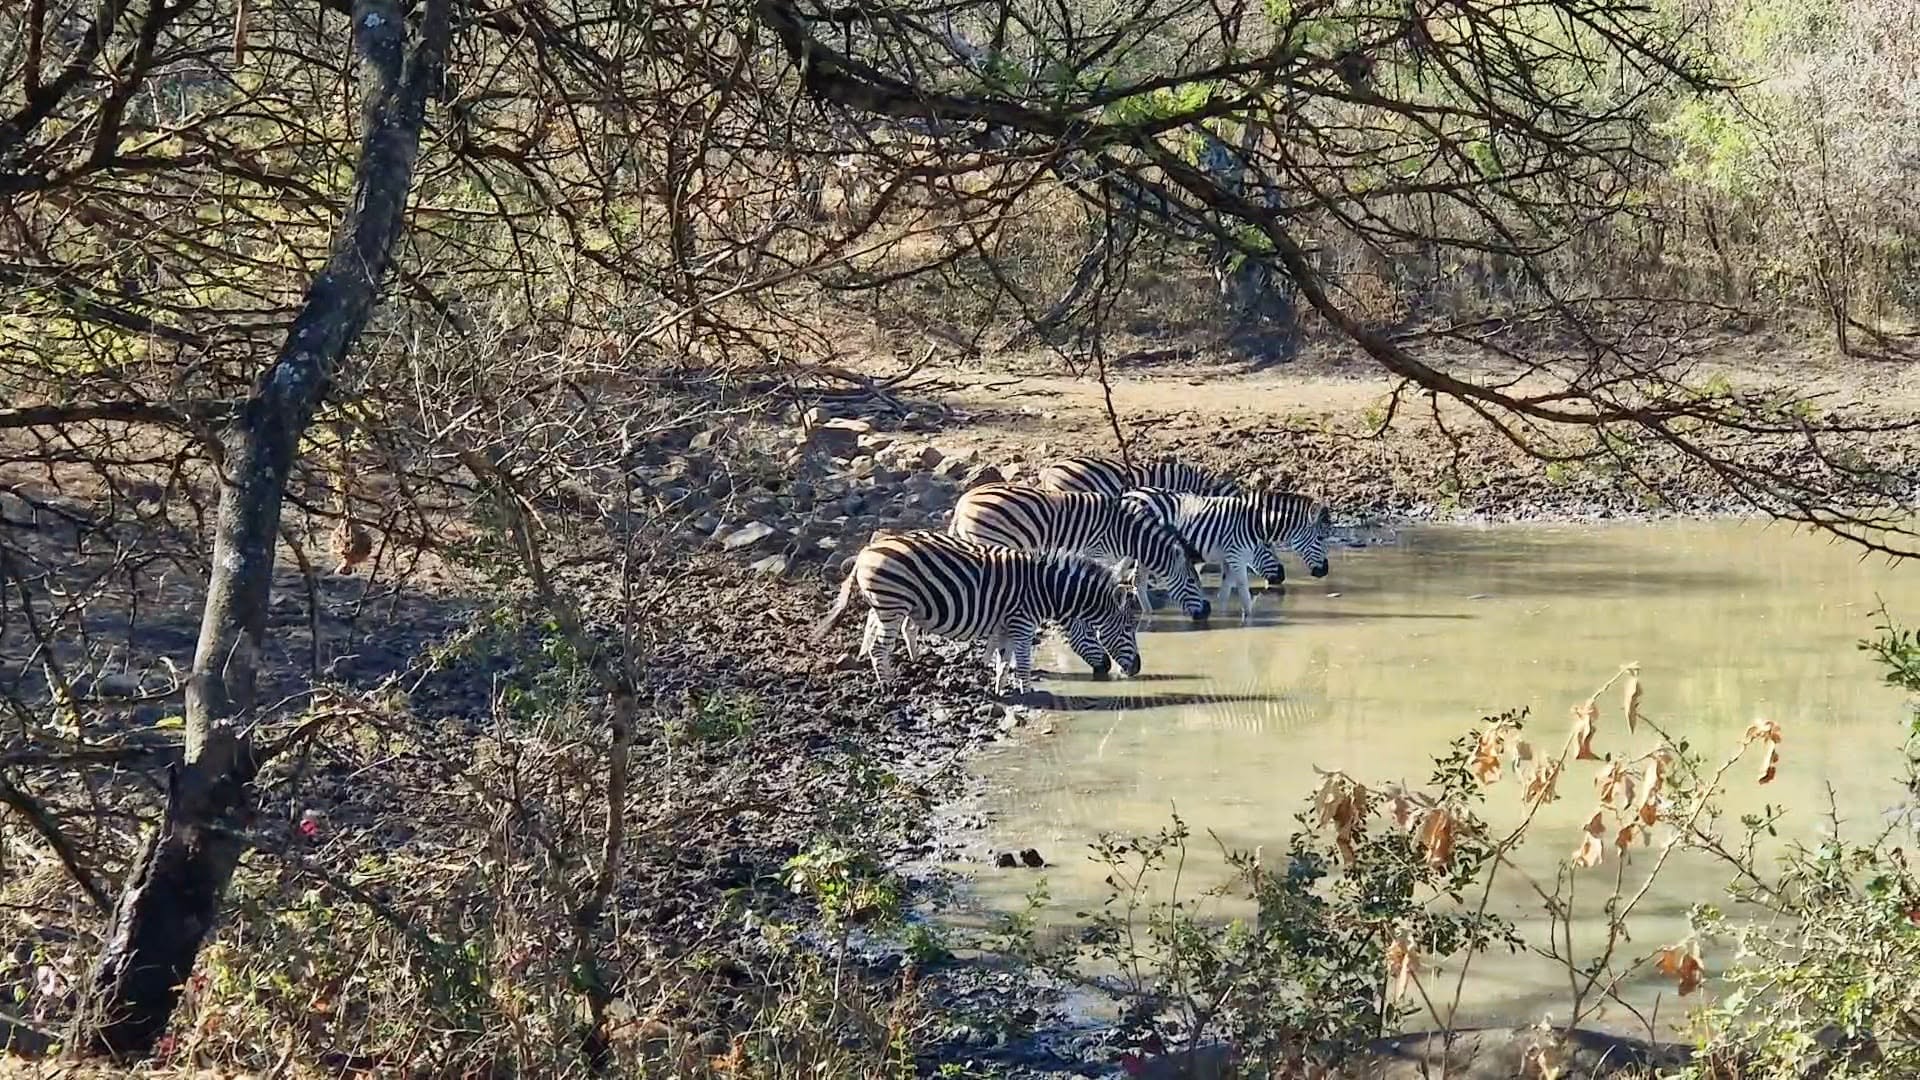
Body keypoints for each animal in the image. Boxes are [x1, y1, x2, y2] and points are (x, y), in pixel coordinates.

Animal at [816, 529, 1143, 694]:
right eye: (1128, 628)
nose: (1136, 669)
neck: (1045, 589)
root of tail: (866, 551)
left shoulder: (1008, 625)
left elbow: (1004, 659)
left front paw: (1001, 688)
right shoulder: (1022, 623)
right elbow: (1022, 661)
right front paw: (1027, 690)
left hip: (889, 605)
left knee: (880, 634)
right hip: (892, 605)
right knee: (880, 648)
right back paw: (887, 686)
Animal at [947, 483, 1213, 621]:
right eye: (1192, 582)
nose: (1205, 613)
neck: (1127, 534)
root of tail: (963, 502)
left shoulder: (1115, 556)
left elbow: (1129, 577)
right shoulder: (1098, 552)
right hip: (991, 540)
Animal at [1122, 489, 1332, 617]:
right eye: (1321, 539)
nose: (1325, 571)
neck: (1252, 523)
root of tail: (1130, 493)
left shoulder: (1231, 558)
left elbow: (1225, 591)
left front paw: (1222, 614)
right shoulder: (1236, 556)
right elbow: (1244, 592)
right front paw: (1250, 621)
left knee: (1137, 581)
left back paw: (1148, 614)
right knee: (1136, 581)